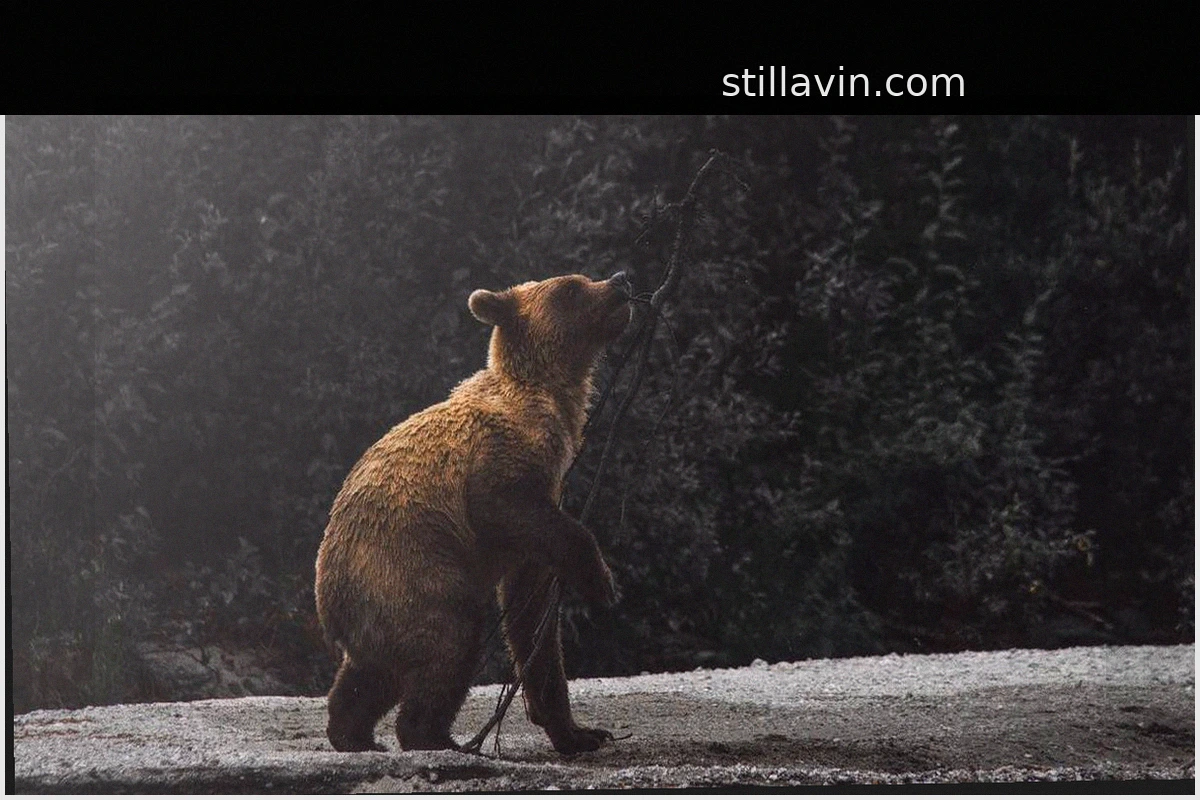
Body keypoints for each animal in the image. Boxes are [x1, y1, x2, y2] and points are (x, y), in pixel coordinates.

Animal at [314, 270, 632, 755]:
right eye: (571, 287)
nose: (619, 281)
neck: (553, 403)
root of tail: (327, 604)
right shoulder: (500, 462)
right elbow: (506, 508)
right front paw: (603, 583)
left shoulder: (543, 514)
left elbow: (534, 622)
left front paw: (580, 732)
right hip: (407, 568)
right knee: (450, 637)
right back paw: (433, 735)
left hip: (378, 605)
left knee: (372, 672)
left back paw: (354, 733)